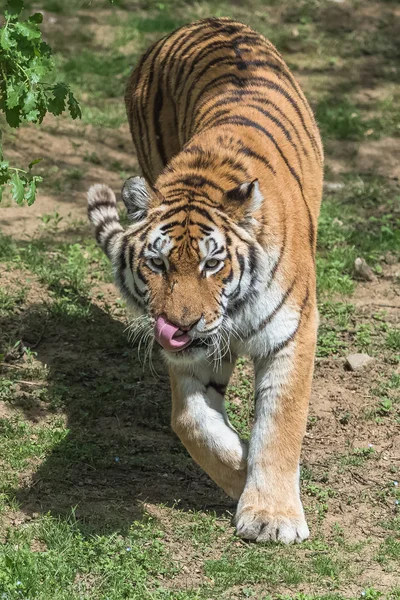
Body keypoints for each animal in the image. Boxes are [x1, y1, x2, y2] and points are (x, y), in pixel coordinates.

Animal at [86, 17, 322, 544]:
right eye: (157, 264)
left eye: (213, 265)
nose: (178, 327)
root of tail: (201, 22)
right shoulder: (194, 358)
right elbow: (192, 421)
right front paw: (241, 475)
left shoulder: (292, 333)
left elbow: (281, 422)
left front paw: (272, 515)